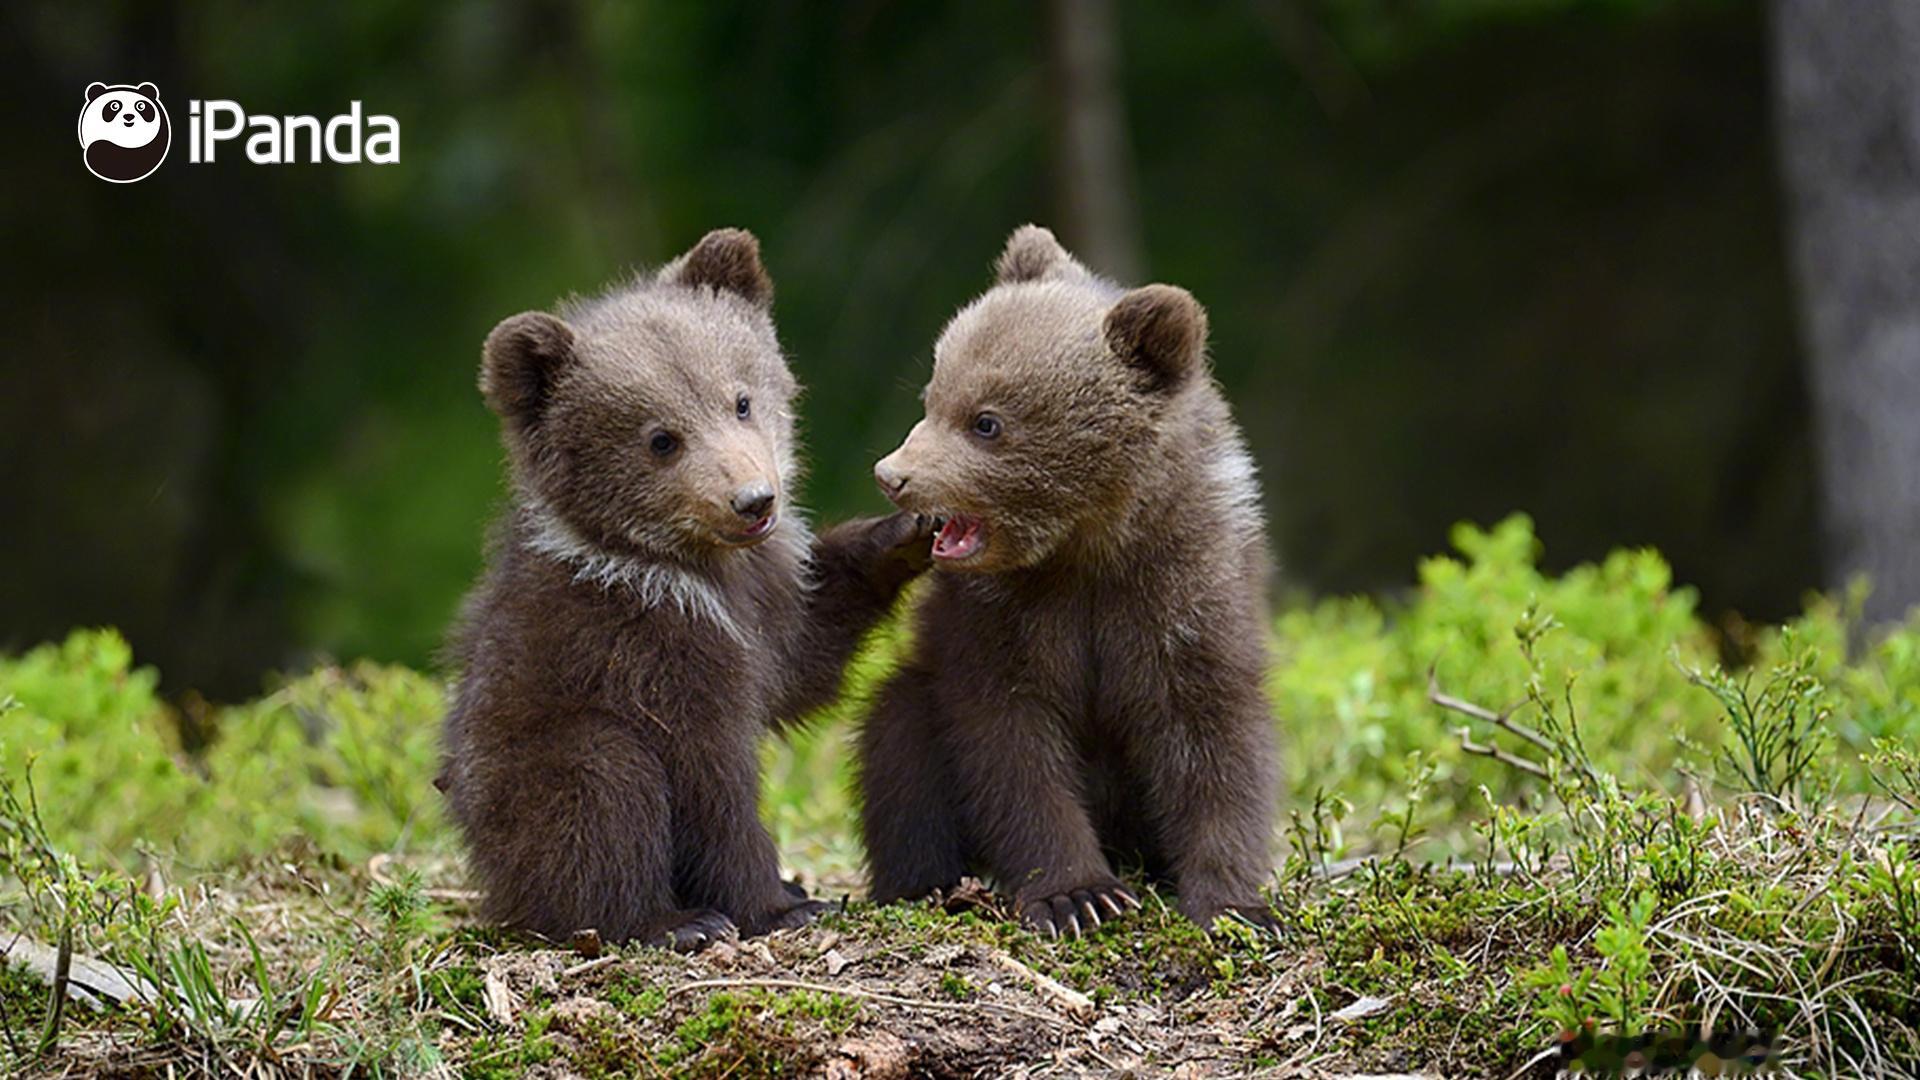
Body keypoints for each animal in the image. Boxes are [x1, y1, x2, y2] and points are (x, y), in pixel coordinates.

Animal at [440, 228, 930, 951]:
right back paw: (671, 919)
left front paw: (905, 532)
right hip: (529, 768)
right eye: (661, 439)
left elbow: (804, 658)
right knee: (603, 789)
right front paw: (778, 904)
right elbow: (711, 779)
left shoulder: (767, 600)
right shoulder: (650, 647)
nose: (753, 500)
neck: (693, 569)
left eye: (741, 400)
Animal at [857, 225, 1280, 937]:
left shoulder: (1184, 592)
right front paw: (1078, 894)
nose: (893, 475)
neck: (1086, 548)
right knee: (898, 742)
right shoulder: (1001, 618)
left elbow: (1213, 738)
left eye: (987, 420)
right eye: (932, 396)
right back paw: (929, 883)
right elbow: (1012, 746)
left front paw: (1235, 903)